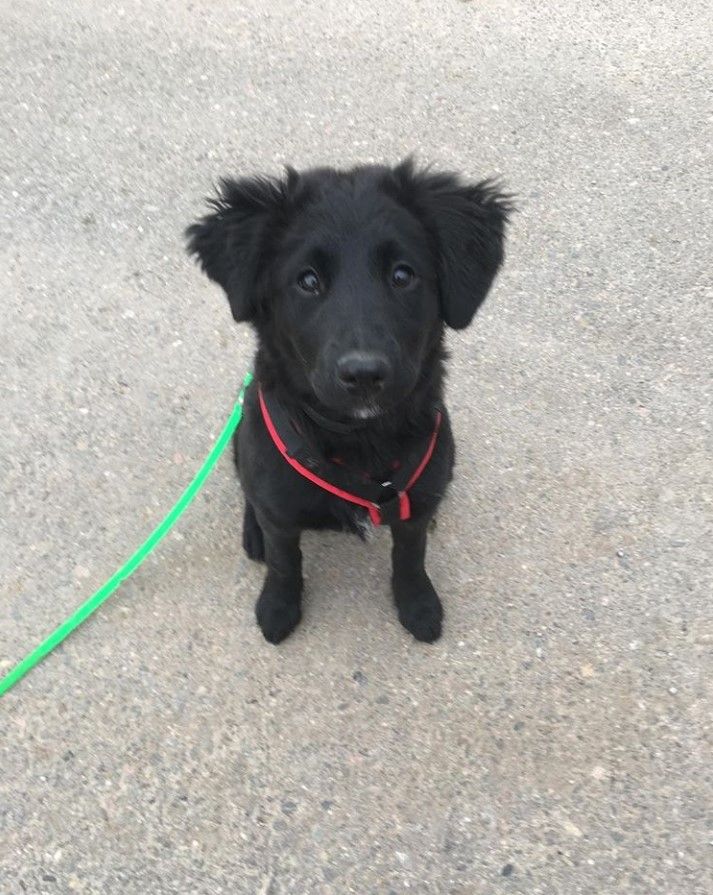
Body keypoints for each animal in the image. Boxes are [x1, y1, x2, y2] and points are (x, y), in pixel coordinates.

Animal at [184, 161, 506, 648]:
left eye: (402, 275)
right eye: (308, 281)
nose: (364, 374)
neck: (360, 439)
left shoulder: (413, 509)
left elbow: (410, 556)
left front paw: (417, 604)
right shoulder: (280, 511)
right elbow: (284, 562)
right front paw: (278, 608)